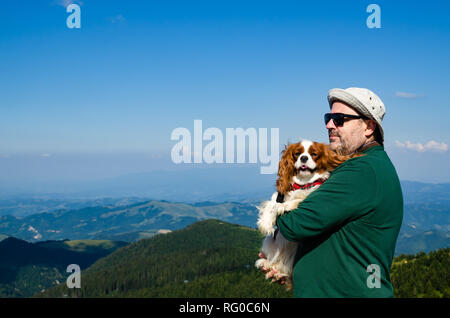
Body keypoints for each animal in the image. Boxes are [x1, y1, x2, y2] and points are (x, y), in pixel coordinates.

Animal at [255, 140, 360, 290]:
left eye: (314, 154)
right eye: (297, 153)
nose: (303, 158)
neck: (302, 184)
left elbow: (288, 204)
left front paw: (279, 208)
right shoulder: (279, 195)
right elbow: (272, 203)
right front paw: (266, 222)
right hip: (270, 240)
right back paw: (269, 266)